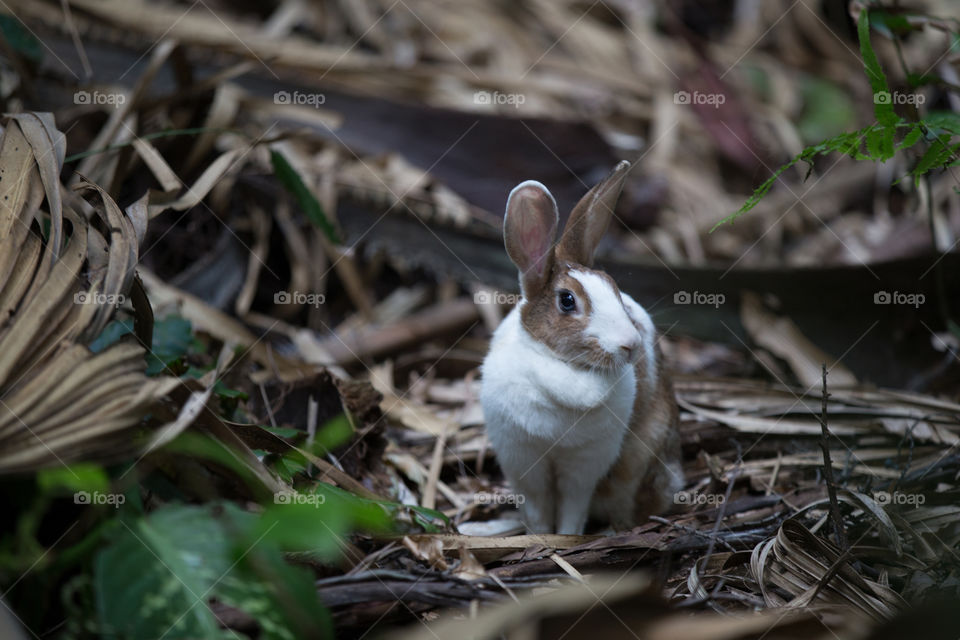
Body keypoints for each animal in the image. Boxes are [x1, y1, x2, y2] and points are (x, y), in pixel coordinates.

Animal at [480, 161, 684, 536]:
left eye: (615, 289)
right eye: (567, 300)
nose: (631, 345)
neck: (561, 366)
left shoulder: (584, 466)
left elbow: (573, 506)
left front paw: (566, 537)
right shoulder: (522, 459)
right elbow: (537, 507)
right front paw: (539, 536)